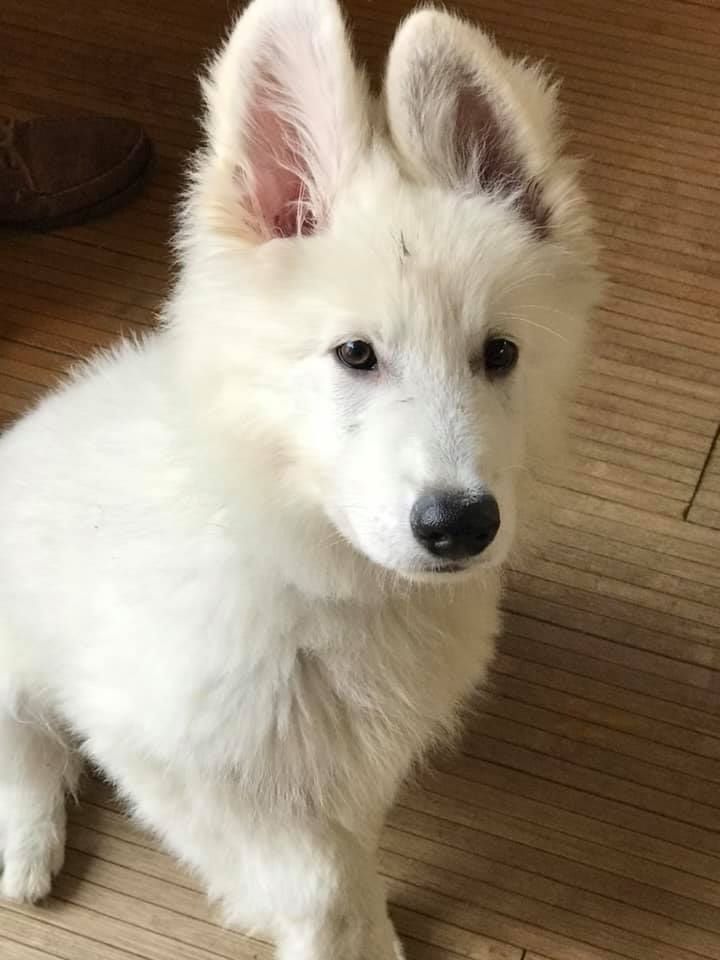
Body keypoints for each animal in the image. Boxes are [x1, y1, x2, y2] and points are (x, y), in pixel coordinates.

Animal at [0, 0, 602, 956]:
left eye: (499, 354)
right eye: (355, 354)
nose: (461, 525)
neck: (308, 570)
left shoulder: (356, 759)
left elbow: (348, 861)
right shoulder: (164, 754)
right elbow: (313, 884)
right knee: (22, 736)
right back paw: (27, 848)